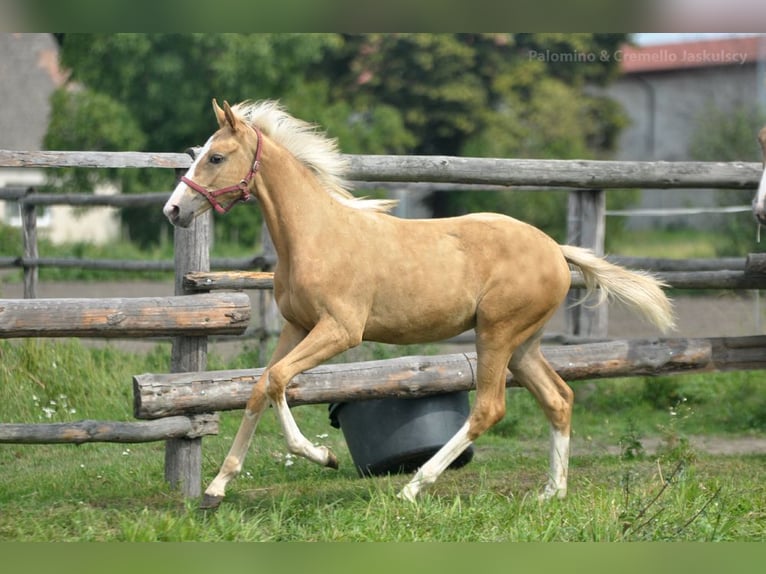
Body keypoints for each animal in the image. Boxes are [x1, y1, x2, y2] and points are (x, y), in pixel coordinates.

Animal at [164, 101, 680, 510]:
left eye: (216, 156)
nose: (173, 211)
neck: (315, 235)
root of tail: (556, 249)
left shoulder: (340, 330)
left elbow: (277, 381)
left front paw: (324, 456)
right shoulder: (296, 326)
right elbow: (259, 386)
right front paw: (215, 489)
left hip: (496, 334)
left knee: (489, 408)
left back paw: (413, 487)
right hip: (523, 345)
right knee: (559, 399)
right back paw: (551, 492)